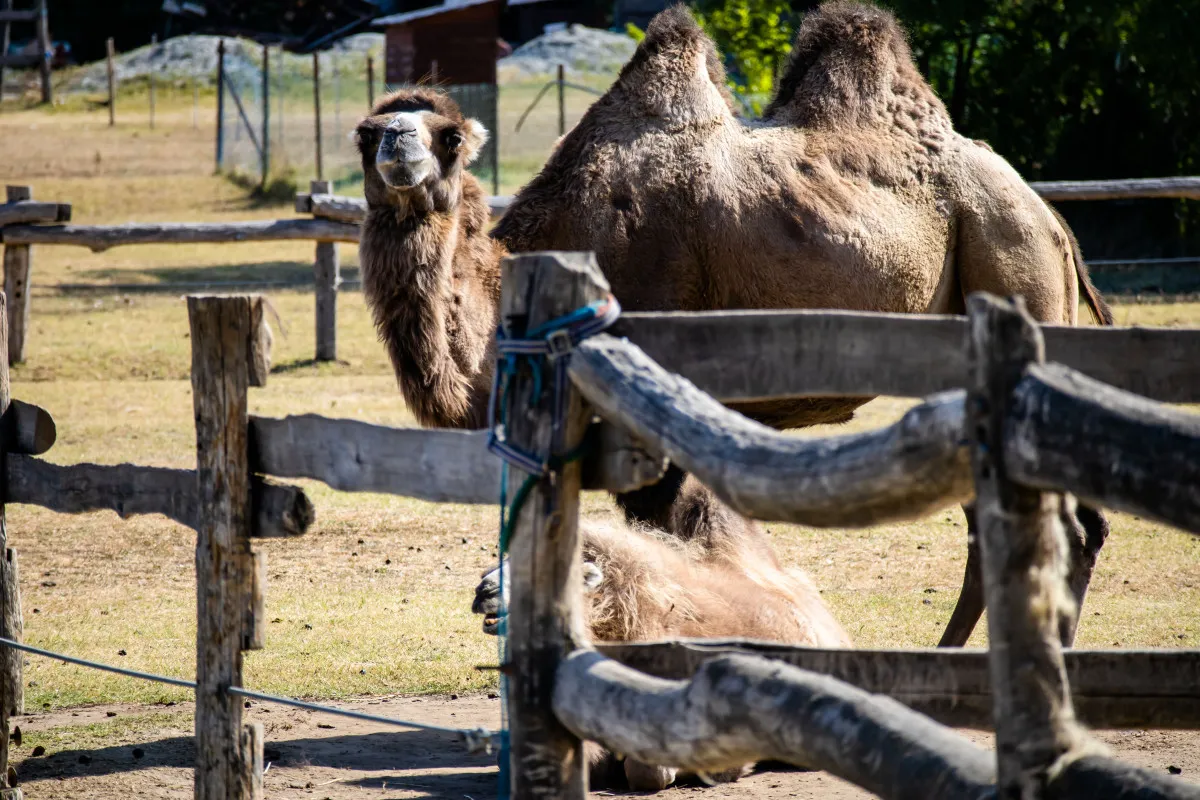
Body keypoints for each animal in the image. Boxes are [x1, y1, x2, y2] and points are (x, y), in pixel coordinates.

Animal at [355, 1, 1113, 652]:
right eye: (366, 133)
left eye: (450, 137)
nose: (398, 145)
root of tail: (1051, 218)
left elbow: (668, 531)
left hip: (1012, 259)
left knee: (1064, 525)